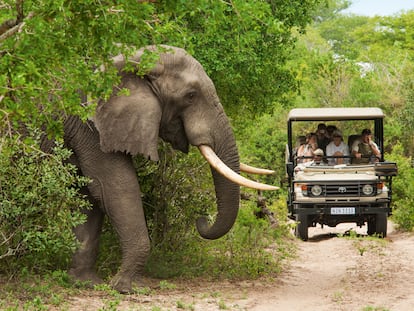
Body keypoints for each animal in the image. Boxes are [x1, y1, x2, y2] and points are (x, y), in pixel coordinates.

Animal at [60, 45, 274, 294]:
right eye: (190, 96)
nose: (201, 219)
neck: (134, 57)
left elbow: (90, 193)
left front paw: (85, 283)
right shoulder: (88, 122)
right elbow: (114, 186)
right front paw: (126, 288)